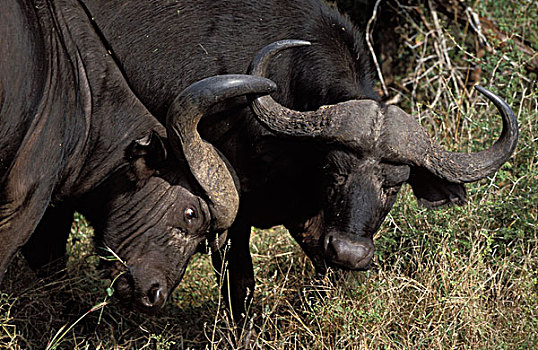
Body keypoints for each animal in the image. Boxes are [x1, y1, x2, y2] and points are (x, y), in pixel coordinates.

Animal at [82, 0, 516, 318]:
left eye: (394, 186)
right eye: (334, 170)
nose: (351, 250)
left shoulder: (315, 221)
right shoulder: (231, 213)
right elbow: (240, 285)